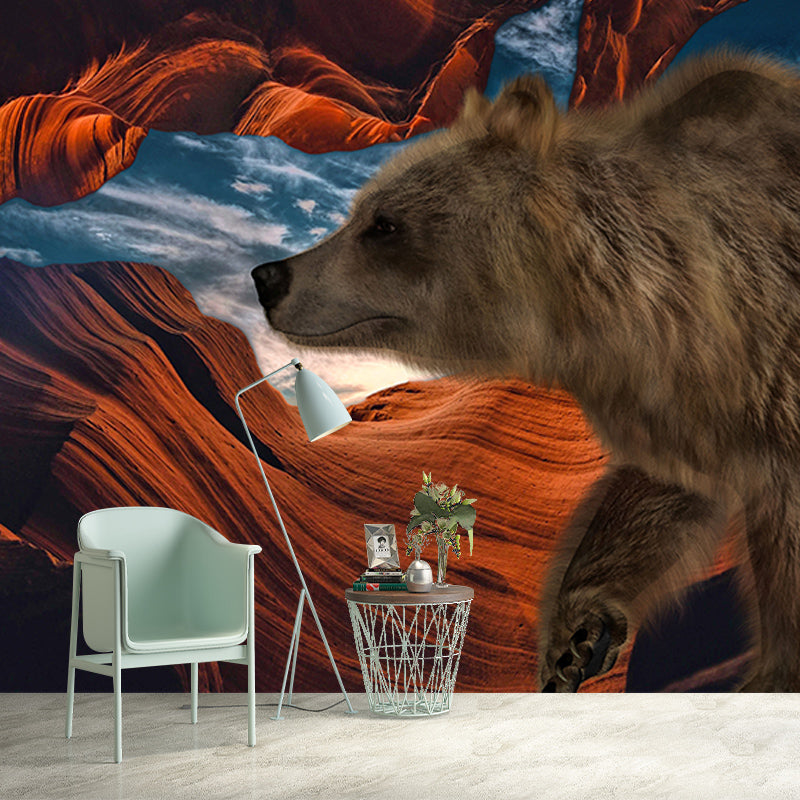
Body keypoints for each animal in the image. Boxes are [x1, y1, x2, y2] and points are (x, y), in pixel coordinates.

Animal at [252, 51, 800, 692]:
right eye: (359, 209)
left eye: (383, 222)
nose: (269, 276)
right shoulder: (687, 396)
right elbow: (660, 489)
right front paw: (574, 636)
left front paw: (771, 675)